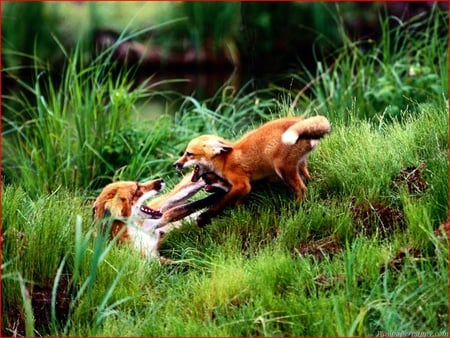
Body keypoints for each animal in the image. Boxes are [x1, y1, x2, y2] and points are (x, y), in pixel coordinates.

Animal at [94, 172, 229, 262]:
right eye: (137, 188)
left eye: (138, 183)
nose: (161, 180)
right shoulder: (151, 260)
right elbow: (186, 263)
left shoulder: (153, 227)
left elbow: (183, 208)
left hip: (164, 204)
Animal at [174, 115, 332, 226]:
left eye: (189, 154)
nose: (176, 164)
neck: (224, 161)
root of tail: (300, 120)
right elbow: (234, 202)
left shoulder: (242, 184)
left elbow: (221, 202)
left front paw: (203, 218)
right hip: (299, 165)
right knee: (307, 179)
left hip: (282, 168)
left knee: (302, 189)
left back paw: (297, 208)